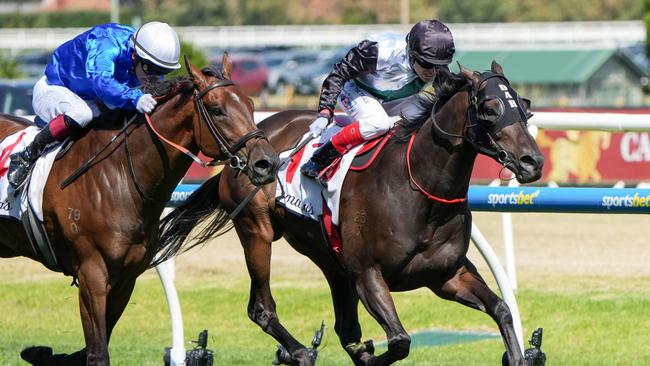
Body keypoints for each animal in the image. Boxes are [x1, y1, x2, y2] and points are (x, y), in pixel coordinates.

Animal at [0, 54, 276, 366]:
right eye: (217, 110)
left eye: (251, 105)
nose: (267, 163)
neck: (119, 176)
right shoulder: (92, 274)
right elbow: (97, 352)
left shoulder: (125, 278)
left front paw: (44, 353)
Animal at [161, 61, 540, 364]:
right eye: (490, 108)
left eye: (524, 106)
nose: (532, 161)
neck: (420, 188)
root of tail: (250, 141)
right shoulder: (368, 274)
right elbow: (399, 341)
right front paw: (369, 353)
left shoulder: (446, 275)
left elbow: (502, 309)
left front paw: (518, 355)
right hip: (257, 230)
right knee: (262, 309)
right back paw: (299, 352)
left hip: (330, 258)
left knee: (344, 326)